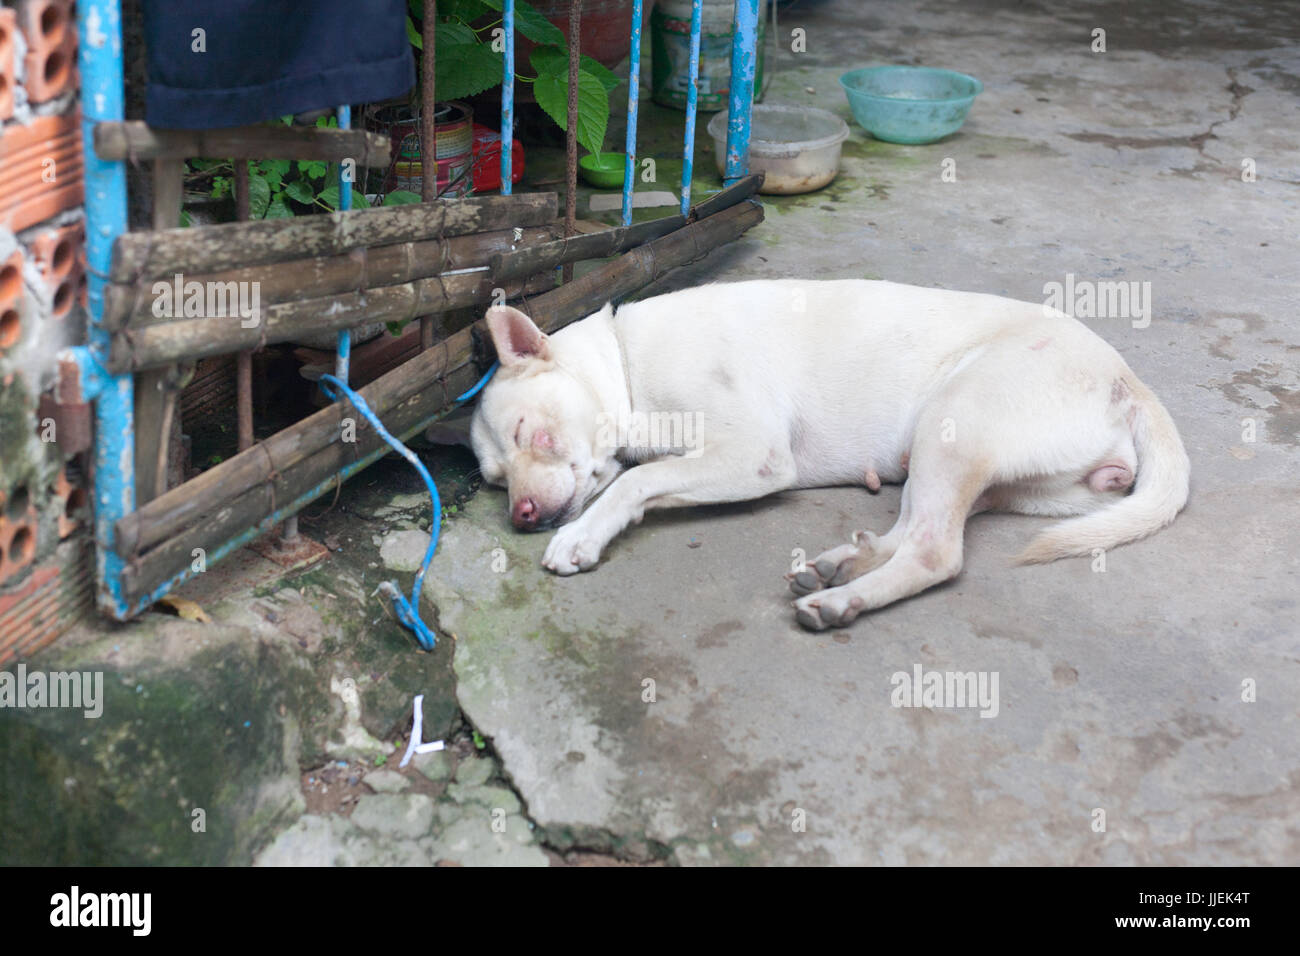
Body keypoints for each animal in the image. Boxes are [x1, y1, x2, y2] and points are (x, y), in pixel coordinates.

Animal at [470, 280, 1190, 632]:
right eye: (494, 481)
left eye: (531, 431)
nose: (523, 517)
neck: (624, 362)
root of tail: (1129, 380)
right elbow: (640, 475)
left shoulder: (753, 452)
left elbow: (635, 481)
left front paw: (582, 536)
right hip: (959, 460)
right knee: (916, 529)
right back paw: (843, 565)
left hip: (953, 422)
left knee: (936, 551)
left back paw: (846, 600)